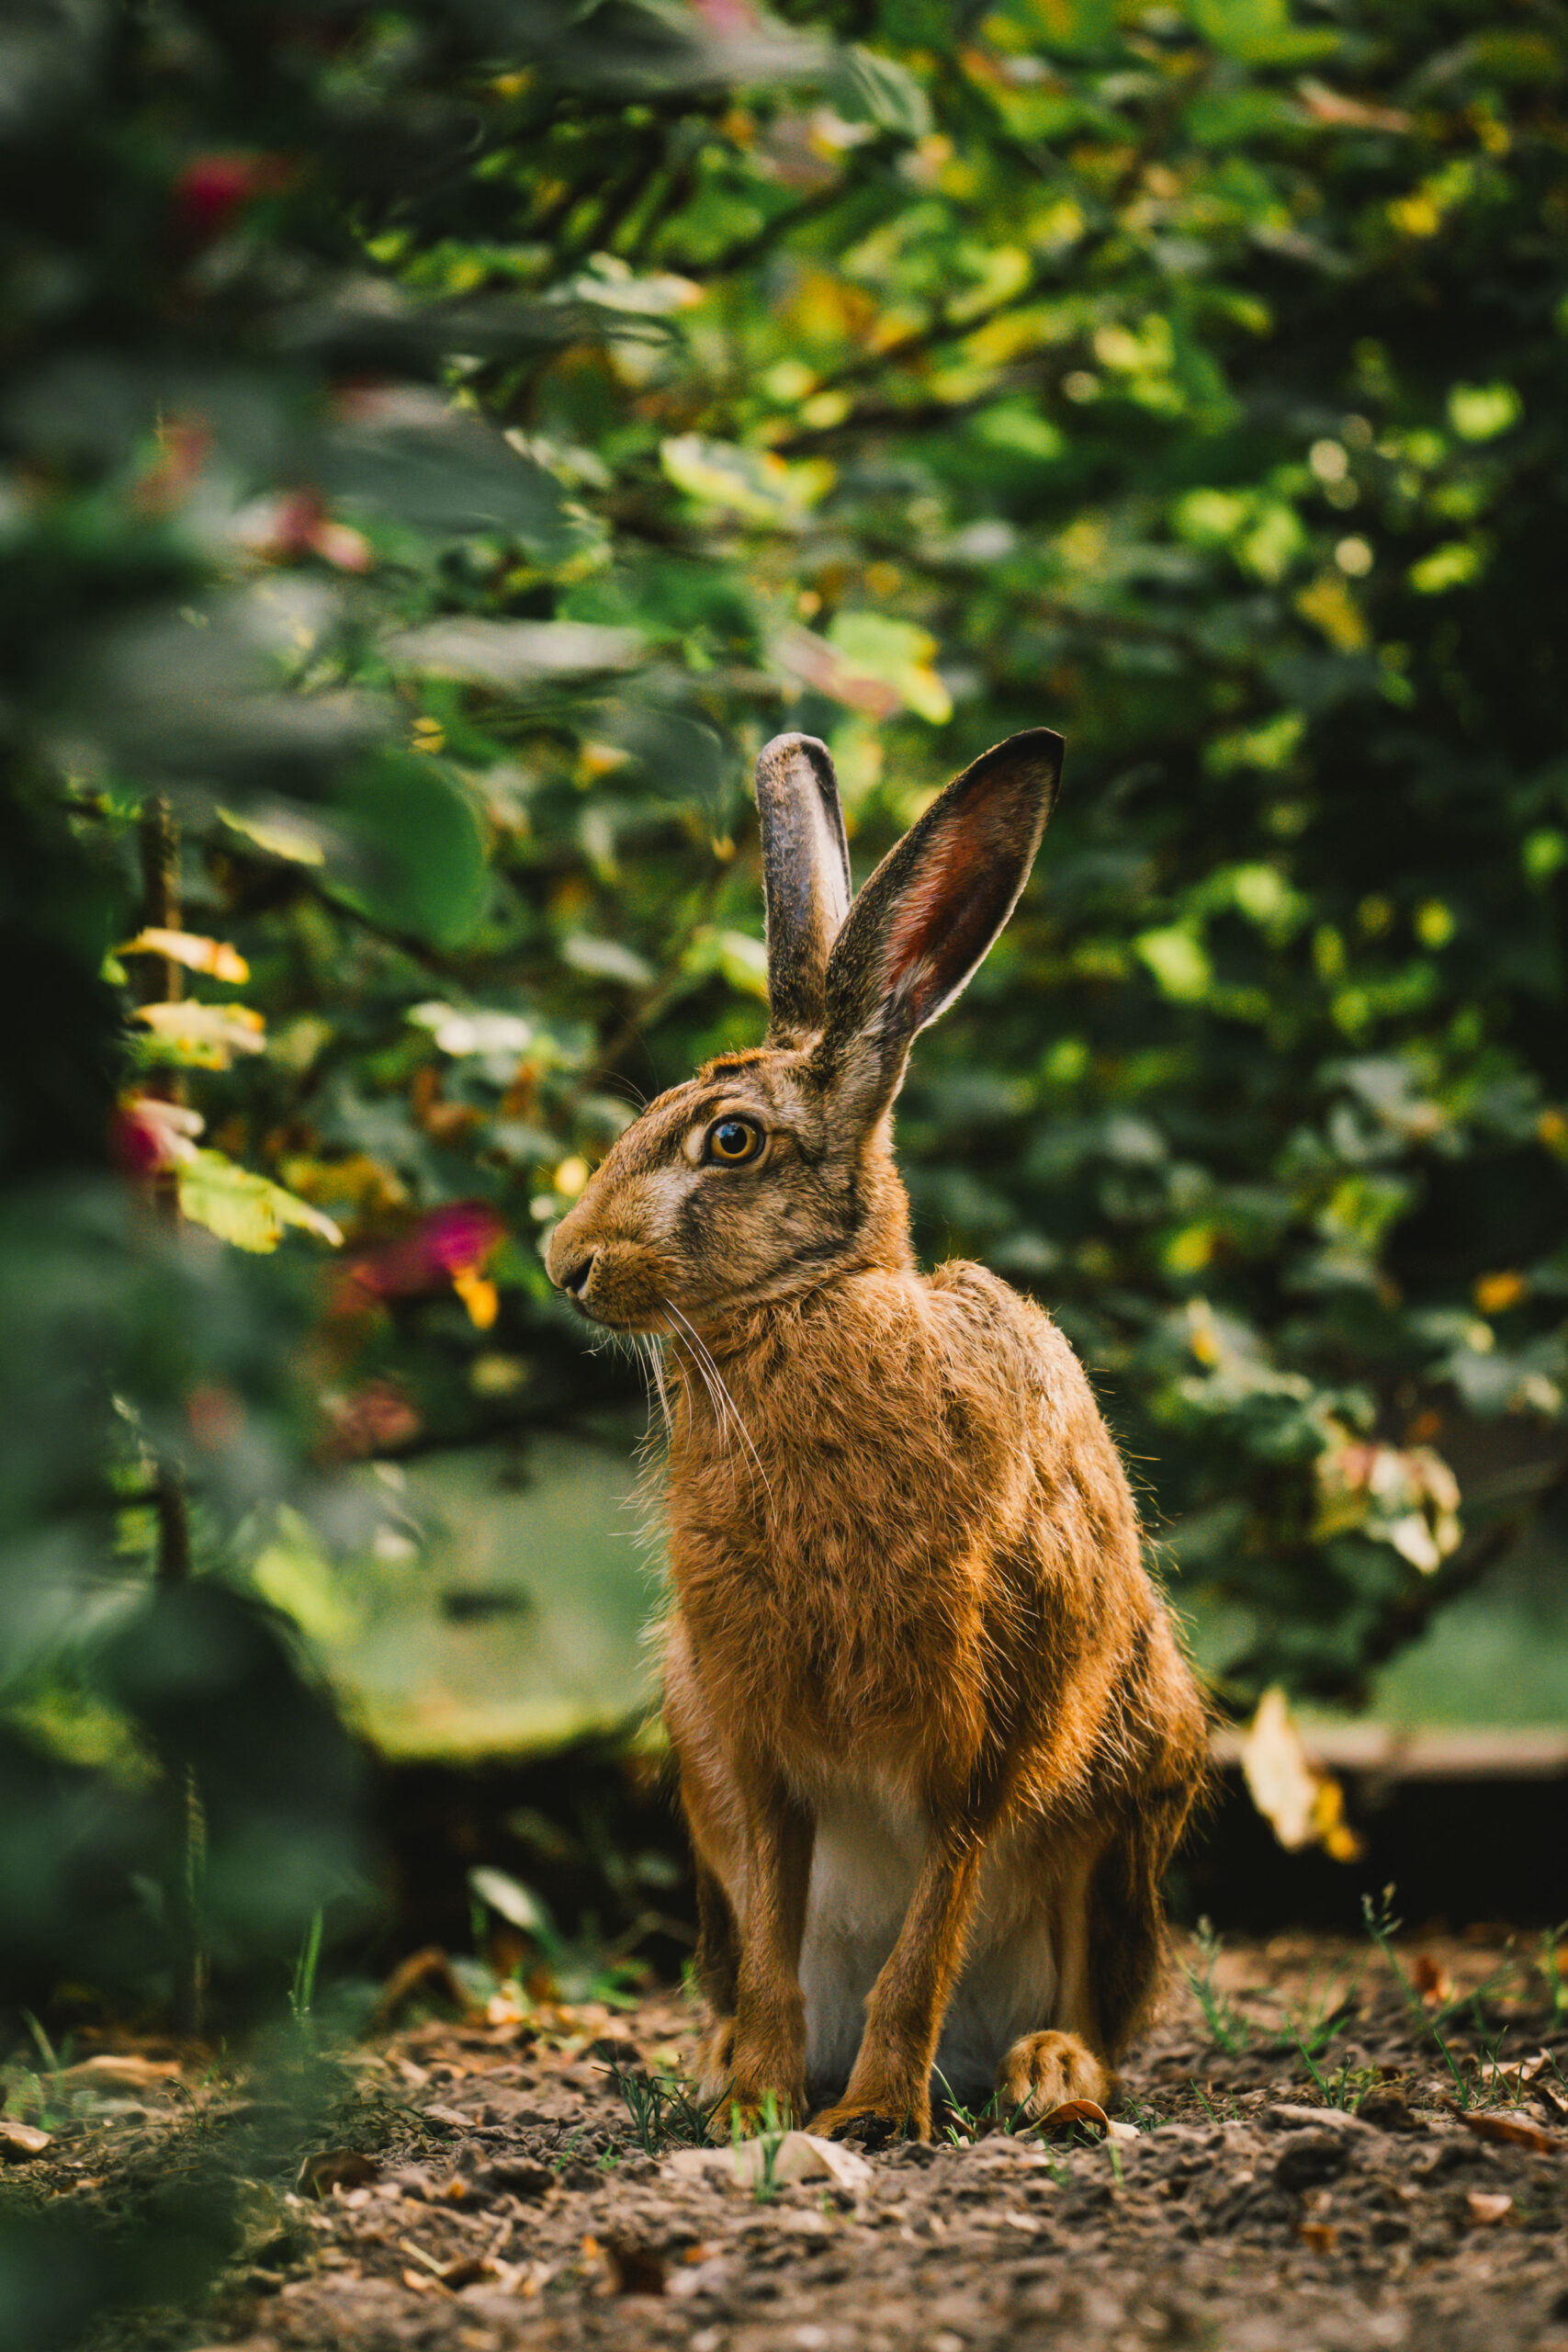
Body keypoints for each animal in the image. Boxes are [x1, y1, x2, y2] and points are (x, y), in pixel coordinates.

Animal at [545, 727, 1208, 2142]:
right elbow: (777, 1926)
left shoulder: (988, 1723)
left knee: (1095, 2001)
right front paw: (757, 2105)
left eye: (732, 1141)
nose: (564, 1263)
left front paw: (869, 2118)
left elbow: (933, 1920)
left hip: (1129, 1797)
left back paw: (1045, 2075)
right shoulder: (748, 1741)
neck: (810, 1307)